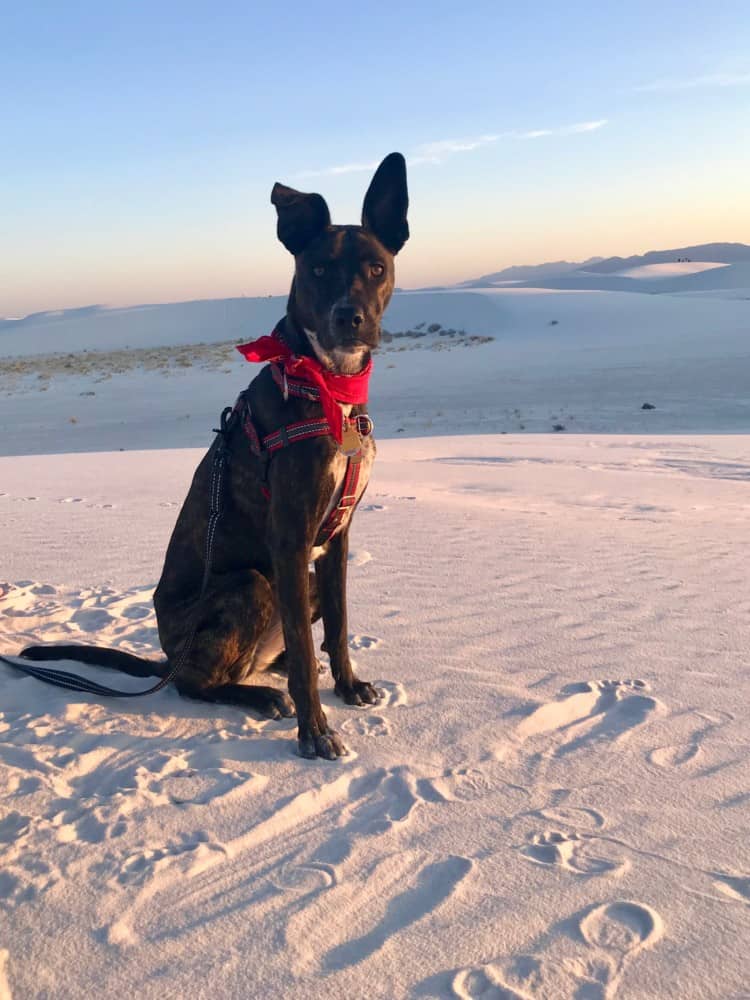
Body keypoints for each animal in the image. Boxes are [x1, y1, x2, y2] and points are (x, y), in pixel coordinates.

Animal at [19, 150, 412, 756]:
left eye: (375, 268)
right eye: (318, 270)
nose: (350, 318)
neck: (325, 383)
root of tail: (167, 654)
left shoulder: (337, 539)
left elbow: (339, 626)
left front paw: (348, 687)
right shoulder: (290, 539)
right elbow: (308, 654)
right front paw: (316, 732)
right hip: (252, 584)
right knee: (196, 683)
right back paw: (259, 695)